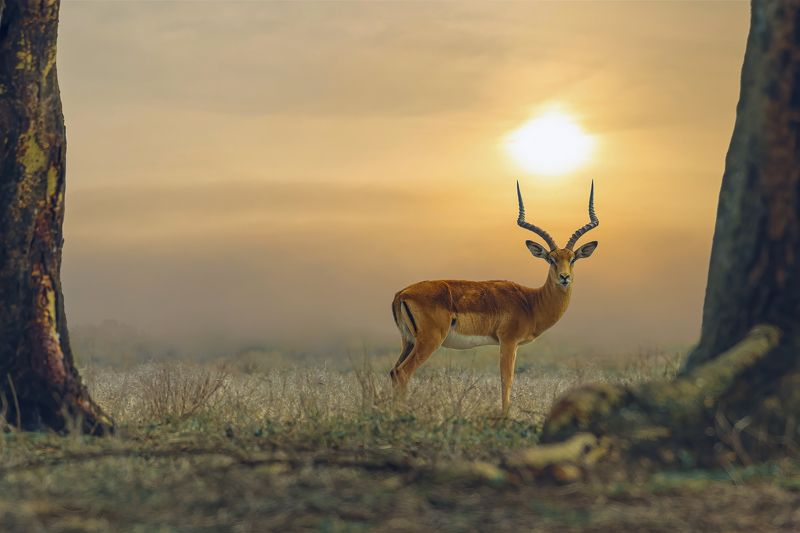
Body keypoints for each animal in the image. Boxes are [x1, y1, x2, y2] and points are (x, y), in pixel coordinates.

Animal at [390, 181, 599, 415]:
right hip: (429, 341)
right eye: (551, 259)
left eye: (572, 259)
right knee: (402, 373)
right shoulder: (508, 341)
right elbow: (506, 380)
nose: (564, 277)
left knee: (394, 372)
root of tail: (402, 293)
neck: (530, 302)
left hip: (408, 341)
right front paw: (505, 416)